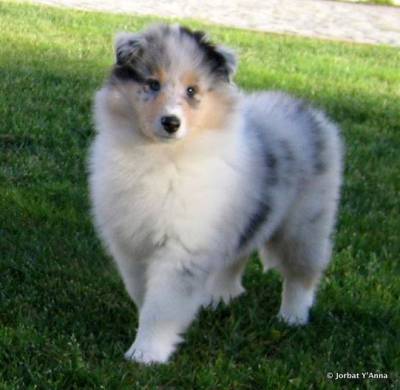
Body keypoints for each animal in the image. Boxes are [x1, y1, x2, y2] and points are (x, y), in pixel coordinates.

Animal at [88, 24, 344, 364]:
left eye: (192, 91)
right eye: (153, 84)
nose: (171, 122)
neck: (164, 156)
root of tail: (304, 109)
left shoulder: (183, 246)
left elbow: (161, 306)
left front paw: (146, 353)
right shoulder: (130, 243)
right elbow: (142, 292)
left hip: (305, 222)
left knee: (302, 273)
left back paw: (292, 316)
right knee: (238, 255)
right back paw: (220, 296)